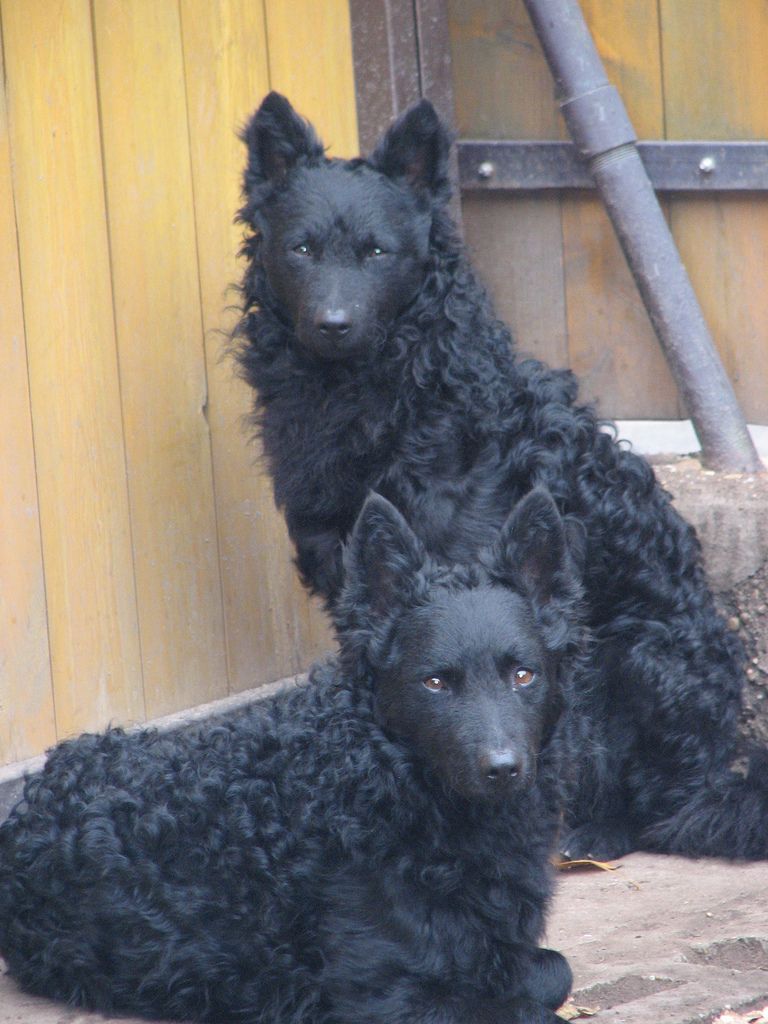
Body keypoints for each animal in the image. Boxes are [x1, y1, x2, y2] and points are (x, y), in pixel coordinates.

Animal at [0, 487, 581, 1024]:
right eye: (435, 683)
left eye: (523, 675)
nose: (503, 769)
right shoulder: (388, 996)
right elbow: (529, 1004)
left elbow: (553, 969)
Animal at [233, 90, 768, 864]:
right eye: (301, 248)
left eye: (376, 252)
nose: (332, 323)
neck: (398, 394)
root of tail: (708, 780)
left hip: (641, 656)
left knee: (643, 806)